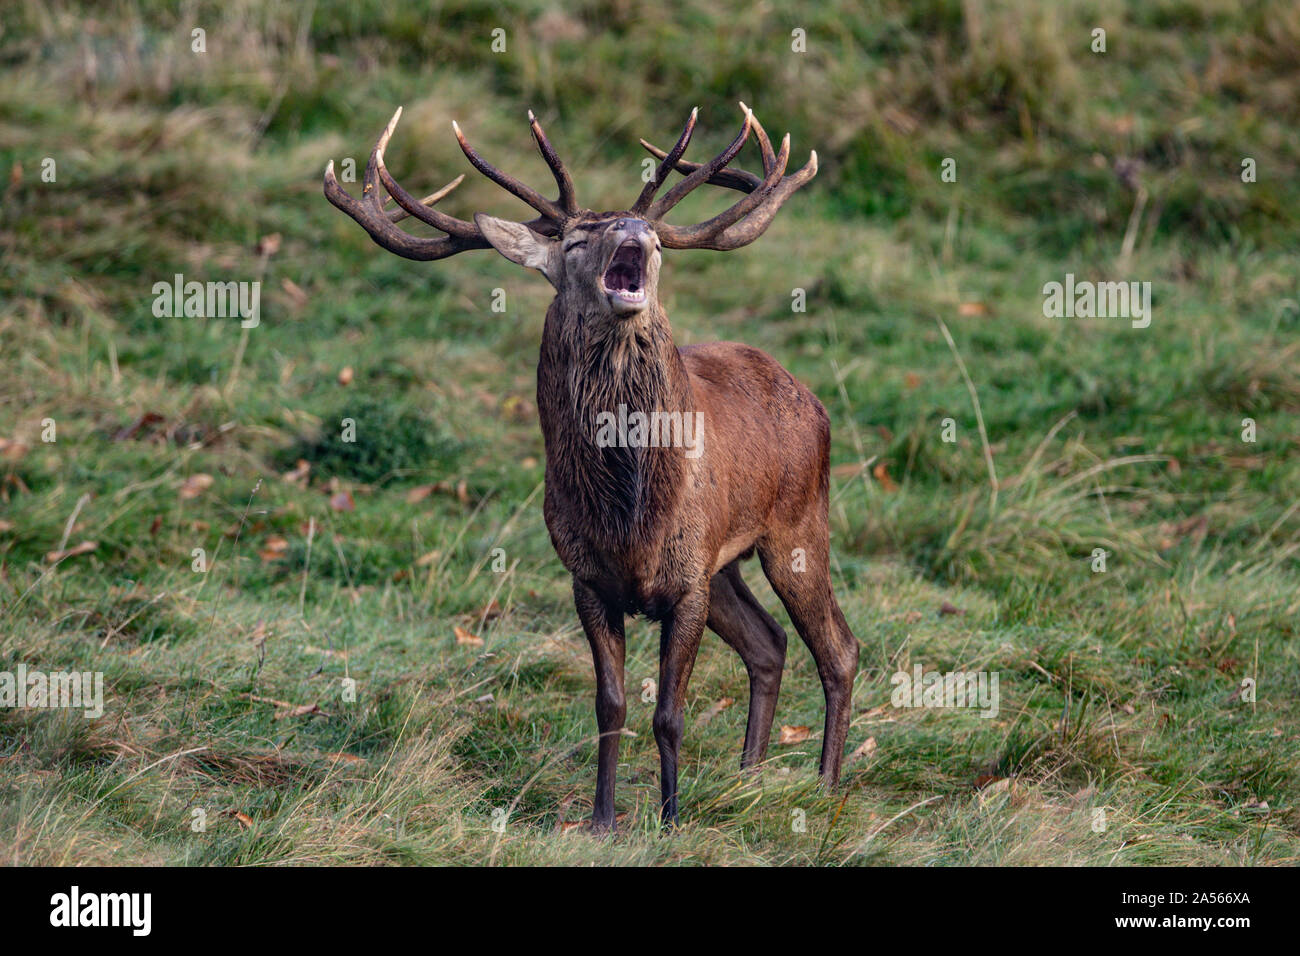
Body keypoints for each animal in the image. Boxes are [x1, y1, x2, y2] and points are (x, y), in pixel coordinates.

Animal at [324, 103, 860, 829]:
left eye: (657, 241)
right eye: (578, 241)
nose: (635, 229)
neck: (630, 516)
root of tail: (811, 398)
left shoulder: (685, 582)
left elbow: (669, 715)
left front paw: (671, 818)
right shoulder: (588, 575)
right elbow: (611, 706)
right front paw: (604, 819)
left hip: (798, 524)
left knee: (837, 647)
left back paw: (826, 787)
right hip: (725, 563)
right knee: (770, 643)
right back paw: (750, 778)